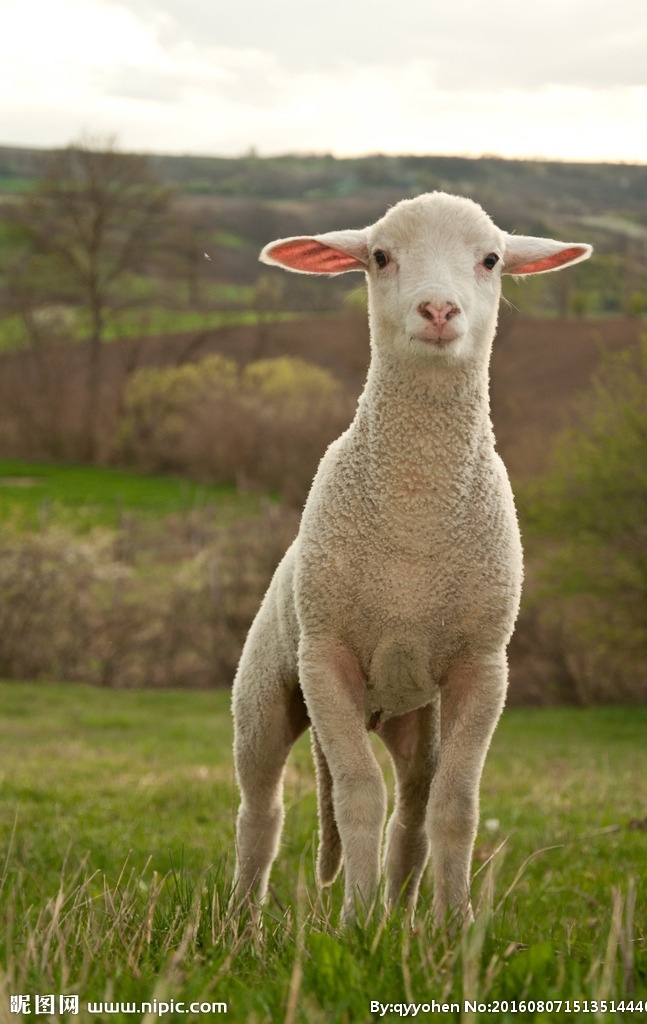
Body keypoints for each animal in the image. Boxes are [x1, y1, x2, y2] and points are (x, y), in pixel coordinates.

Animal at [231, 188, 589, 925]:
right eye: (378, 256)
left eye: (491, 259)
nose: (438, 310)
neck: (414, 523)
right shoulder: (327, 655)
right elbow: (357, 798)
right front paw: (353, 923)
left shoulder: (482, 666)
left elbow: (455, 808)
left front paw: (454, 927)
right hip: (265, 696)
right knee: (261, 809)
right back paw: (241, 923)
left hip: (414, 716)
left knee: (415, 807)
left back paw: (400, 916)